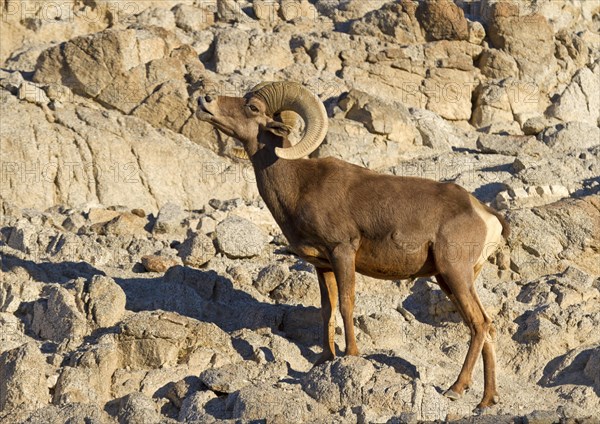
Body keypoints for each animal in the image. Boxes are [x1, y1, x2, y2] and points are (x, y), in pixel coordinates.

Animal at [198, 81, 510, 410]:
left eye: (253, 107)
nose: (205, 100)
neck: (298, 185)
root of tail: (485, 214)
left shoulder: (342, 252)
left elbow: (347, 304)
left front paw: (350, 355)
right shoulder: (322, 265)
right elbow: (328, 309)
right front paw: (324, 359)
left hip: (455, 274)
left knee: (479, 324)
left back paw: (455, 389)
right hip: (449, 280)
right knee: (486, 328)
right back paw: (486, 400)